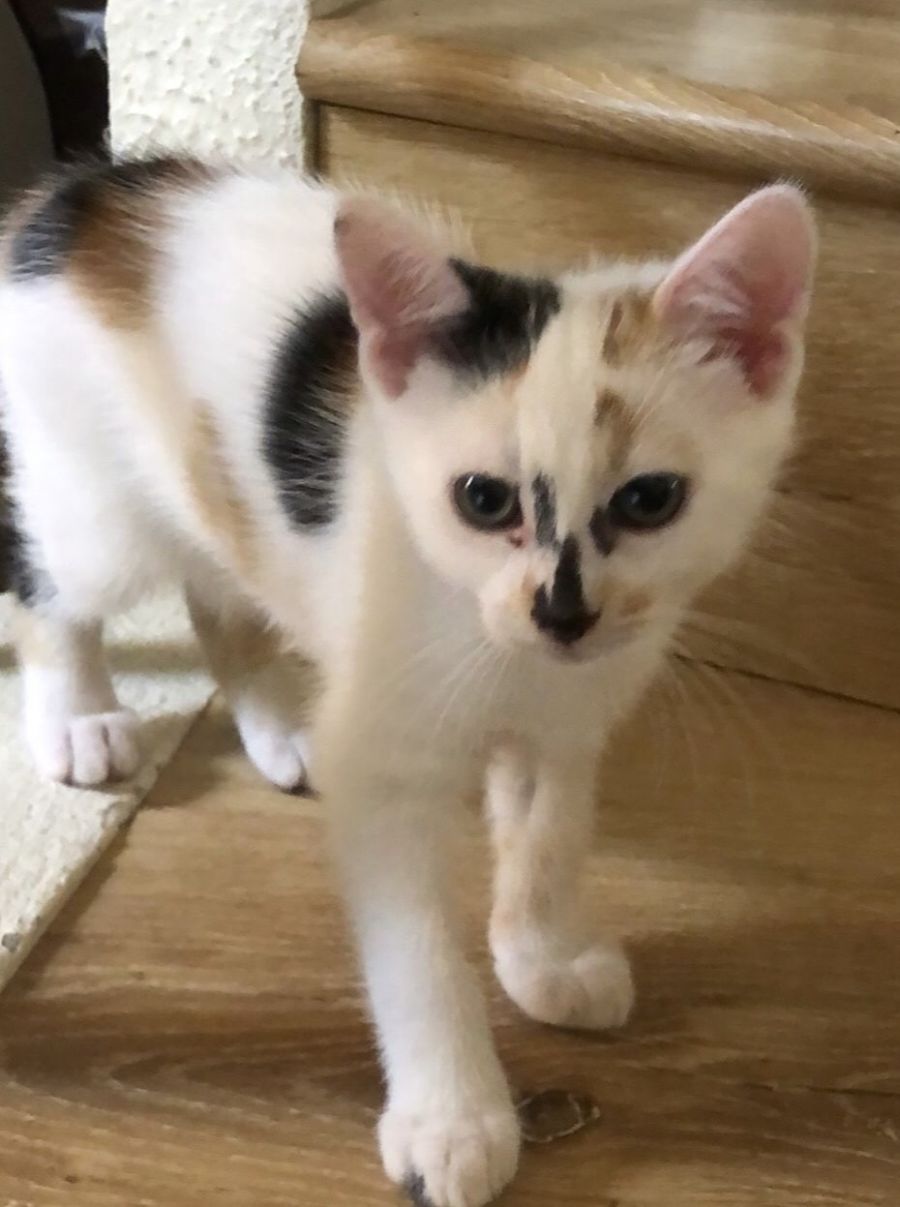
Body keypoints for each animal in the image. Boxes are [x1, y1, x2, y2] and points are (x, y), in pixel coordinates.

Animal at [0, 158, 815, 1207]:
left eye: (649, 499)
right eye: (483, 500)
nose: (564, 612)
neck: (501, 651)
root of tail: (77, 189)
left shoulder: (567, 722)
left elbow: (548, 838)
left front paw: (543, 956)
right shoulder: (387, 767)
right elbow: (415, 947)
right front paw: (452, 1117)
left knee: (222, 596)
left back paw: (281, 727)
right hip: (96, 510)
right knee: (52, 586)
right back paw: (81, 716)